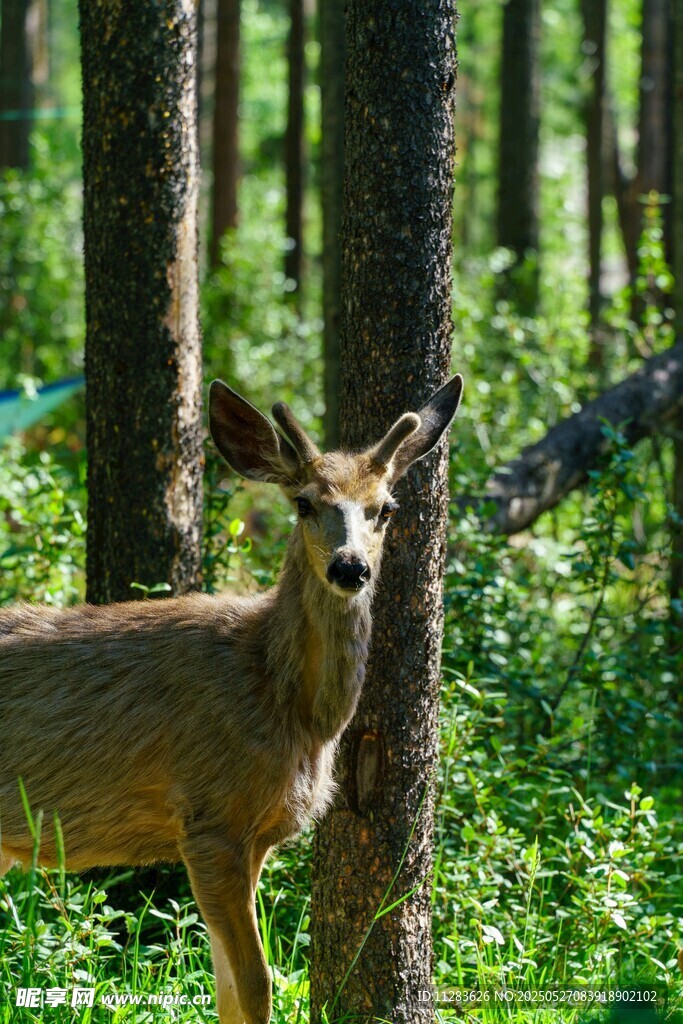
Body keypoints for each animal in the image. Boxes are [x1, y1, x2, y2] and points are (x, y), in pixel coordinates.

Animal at [0, 373, 463, 1024]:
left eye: (386, 509)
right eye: (304, 502)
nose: (350, 568)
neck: (289, 704)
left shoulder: (256, 835)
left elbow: (227, 986)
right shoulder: (209, 819)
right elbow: (256, 983)